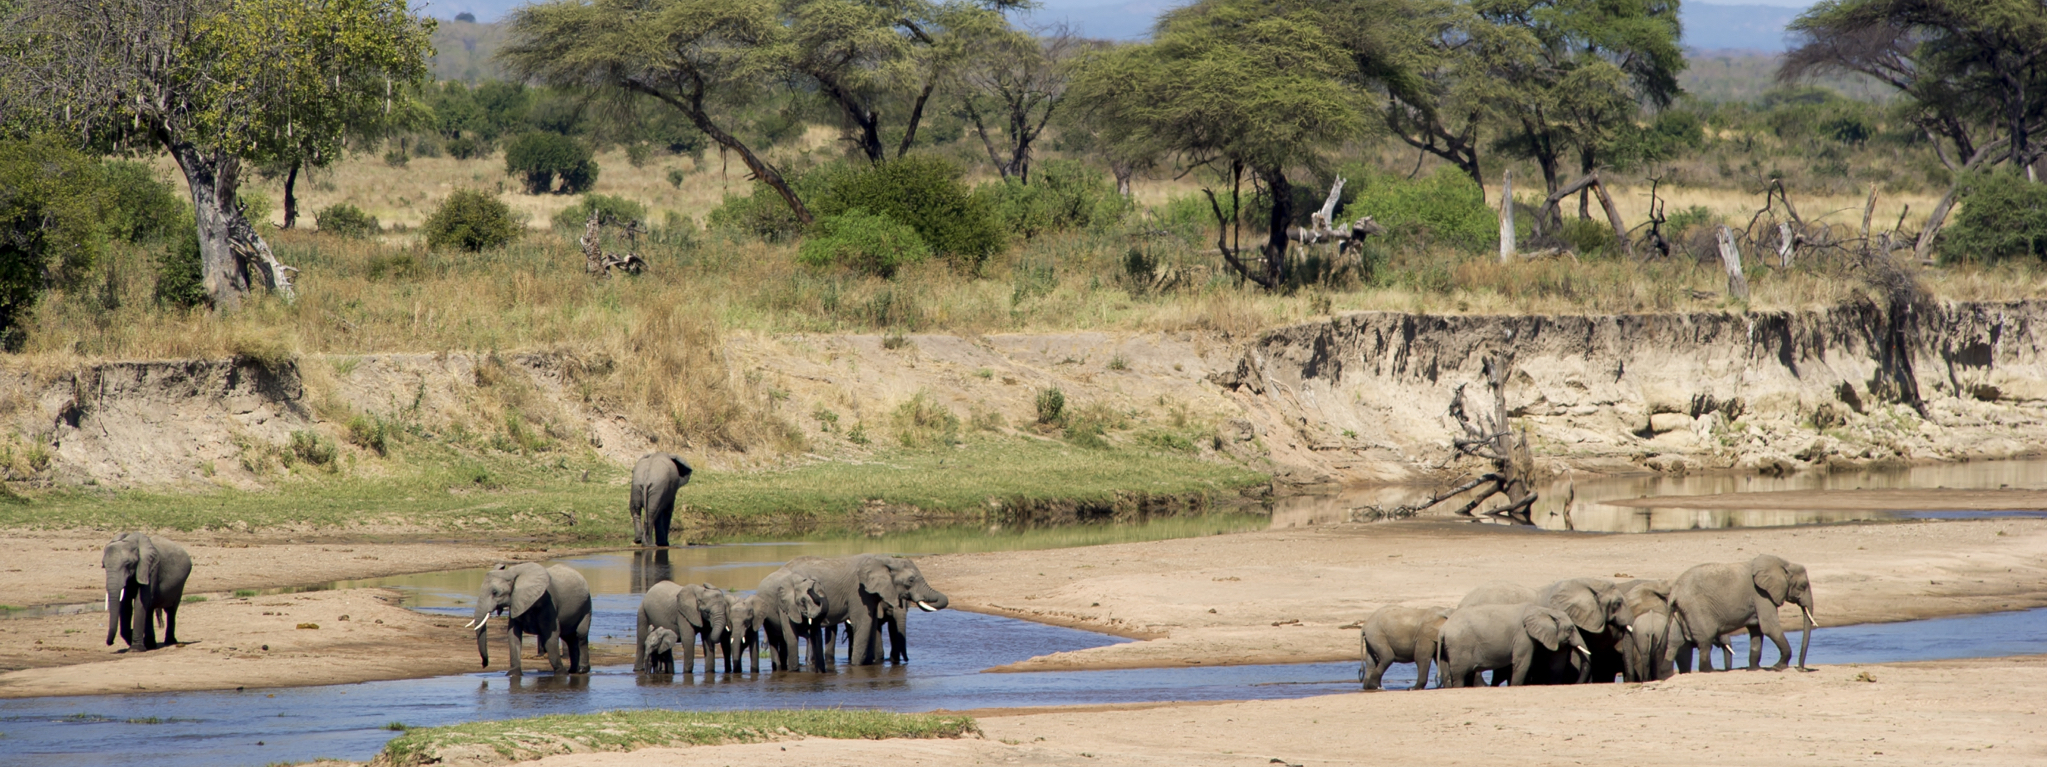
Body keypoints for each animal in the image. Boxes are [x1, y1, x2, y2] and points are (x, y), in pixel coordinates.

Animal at [781, 556, 949, 670]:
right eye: (911, 580)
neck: (884, 560)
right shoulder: (858, 592)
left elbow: (872, 624)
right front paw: (856, 666)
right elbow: (864, 623)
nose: (907, 661)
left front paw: (870, 664)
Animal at [1432, 605, 1588, 691]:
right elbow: (1522, 663)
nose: (1576, 683)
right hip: (1459, 646)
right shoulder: (1523, 636)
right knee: (1459, 675)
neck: (1541, 610)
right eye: (1570, 629)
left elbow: (1555, 659)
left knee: (1447, 674)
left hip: (1447, 648)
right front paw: (1515, 685)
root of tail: (1443, 630)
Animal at [1670, 552, 1817, 670]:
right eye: (1803, 585)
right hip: (1696, 607)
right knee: (1706, 640)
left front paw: (1754, 669)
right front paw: (1778, 667)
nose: (1800, 668)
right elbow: (1769, 627)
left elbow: (1756, 630)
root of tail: (1675, 590)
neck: (1784, 564)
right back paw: (1709, 671)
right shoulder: (1761, 594)